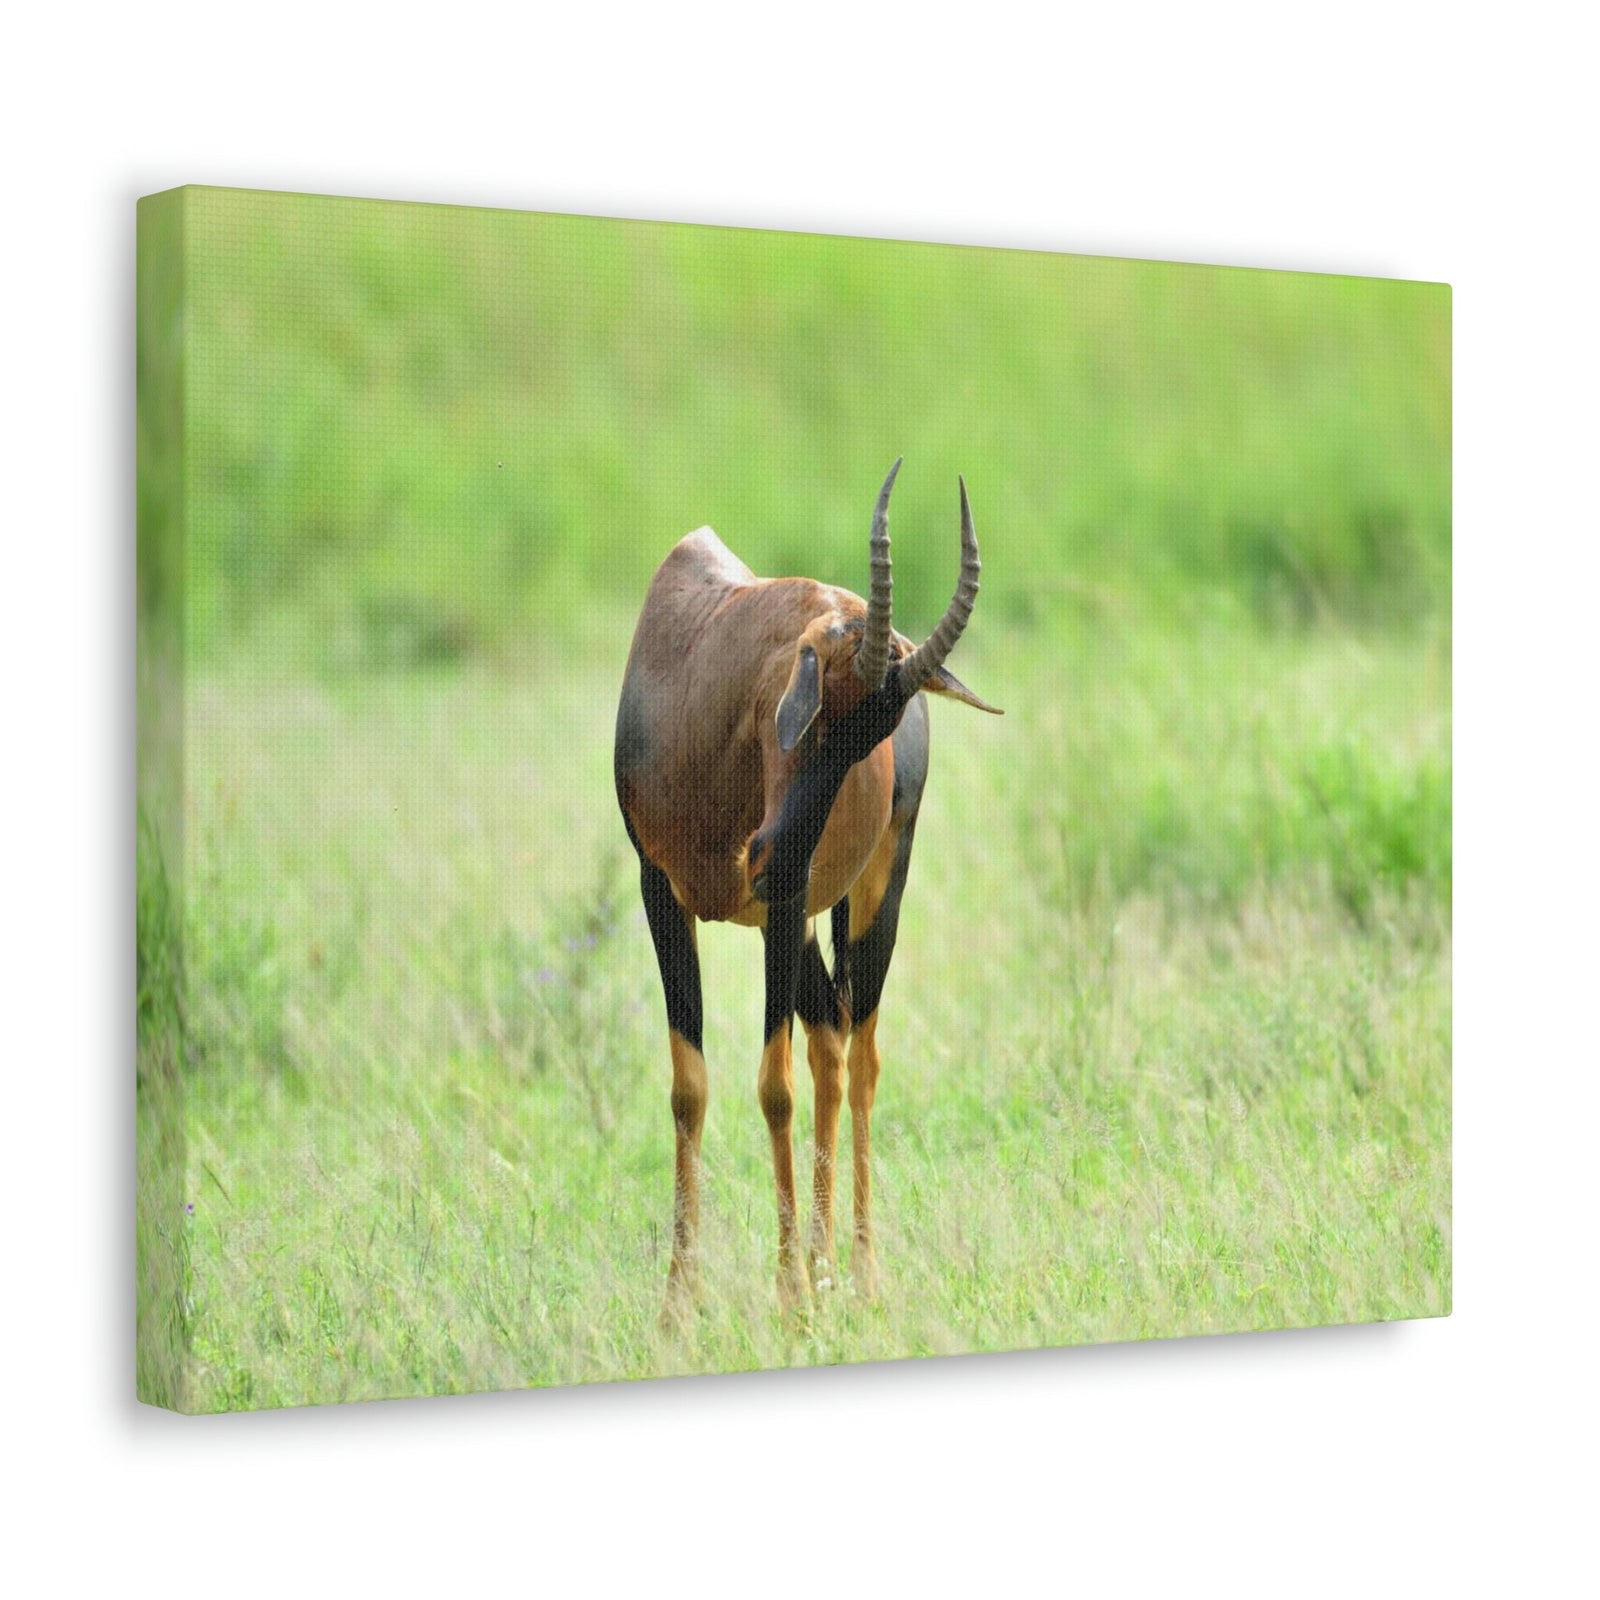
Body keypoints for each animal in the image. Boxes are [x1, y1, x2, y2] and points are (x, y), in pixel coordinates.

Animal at [614, 460, 998, 1311]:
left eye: (874, 738)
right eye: (819, 704)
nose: (772, 857)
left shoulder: (785, 909)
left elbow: (773, 1087)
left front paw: (789, 1301)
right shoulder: (661, 891)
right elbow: (690, 1085)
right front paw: (678, 1309)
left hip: (870, 892)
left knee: (861, 1053)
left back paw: (857, 1275)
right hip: (790, 924)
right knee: (828, 1038)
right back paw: (826, 1269)